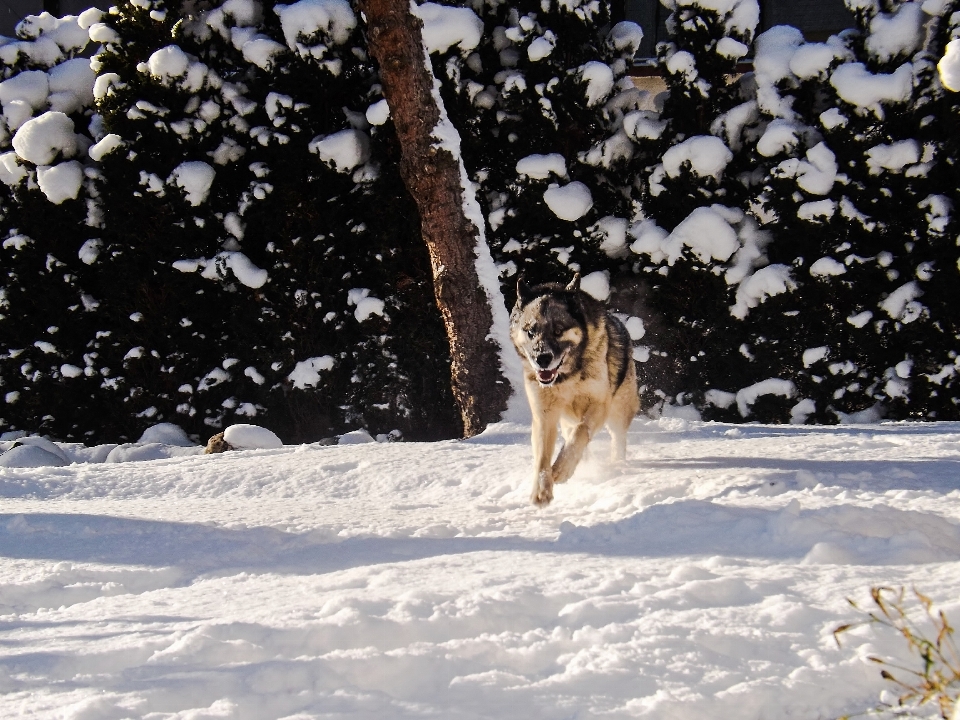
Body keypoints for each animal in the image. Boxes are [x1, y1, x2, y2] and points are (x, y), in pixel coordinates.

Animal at [510, 274, 636, 506]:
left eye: (558, 331)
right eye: (530, 332)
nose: (542, 359)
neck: (566, 377)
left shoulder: (599, 405)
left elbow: (580, 433)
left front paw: (561, 470)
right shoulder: (544, 415)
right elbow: (542, 458)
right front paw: (542, 490)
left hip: (618, 411)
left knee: (617, 438)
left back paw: (617, 464)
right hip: (567, 418)